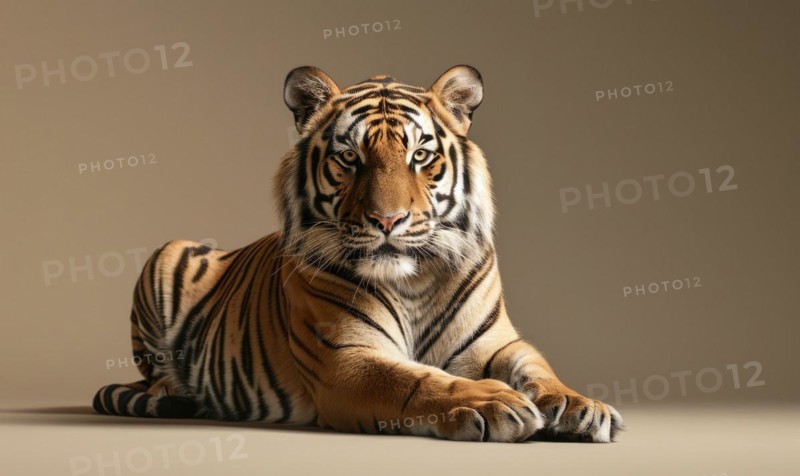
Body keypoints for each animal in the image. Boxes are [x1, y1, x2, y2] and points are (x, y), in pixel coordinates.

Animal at [93, 65, 623, 442]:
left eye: (420, 156)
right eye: (349, 158)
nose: (388, 221)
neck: (414, 281)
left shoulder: (496, 343)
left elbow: (539, 369)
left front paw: (580, 406)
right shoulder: (346, 359)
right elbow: (419, 382)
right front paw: (493, 402)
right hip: (164, 255)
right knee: (154, 379)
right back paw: (179, 394)